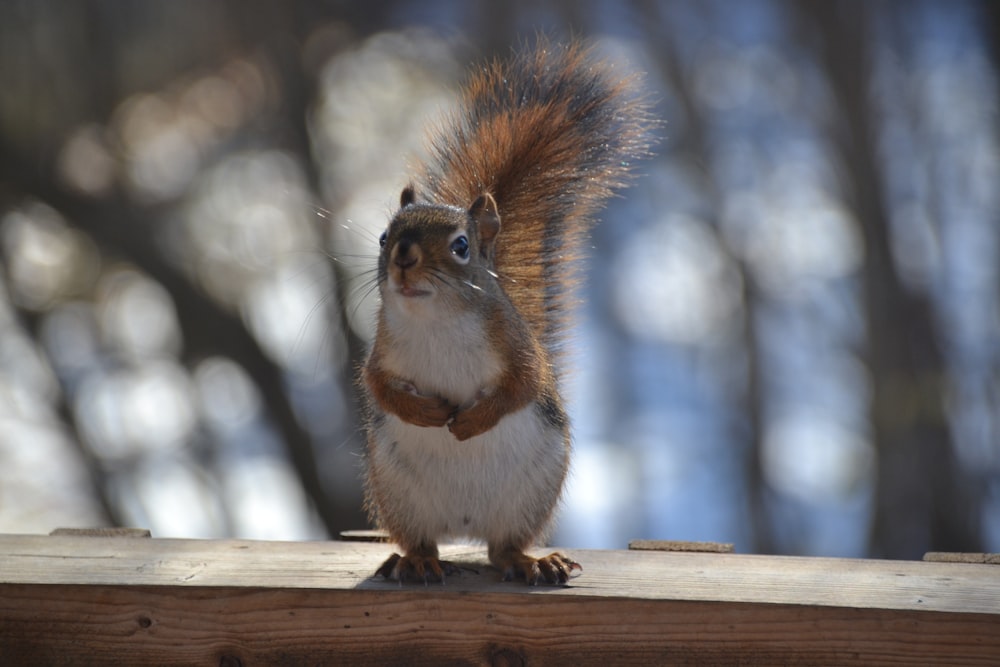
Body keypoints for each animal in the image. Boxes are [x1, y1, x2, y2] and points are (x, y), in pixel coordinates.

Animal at [360, 39, 656, 588]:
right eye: (385, 236)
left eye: (460, 246)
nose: (403, 257)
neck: (438, 319)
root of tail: (464, 525)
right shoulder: (381, 350)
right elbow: (380, 388)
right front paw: (425, 412)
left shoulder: (517, 344)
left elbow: (523, 384)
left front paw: (471, 422)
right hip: (397, 494)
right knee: (422, 540)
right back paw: (416, 561)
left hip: (530, 495)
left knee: (504, 549)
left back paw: (533, 561)